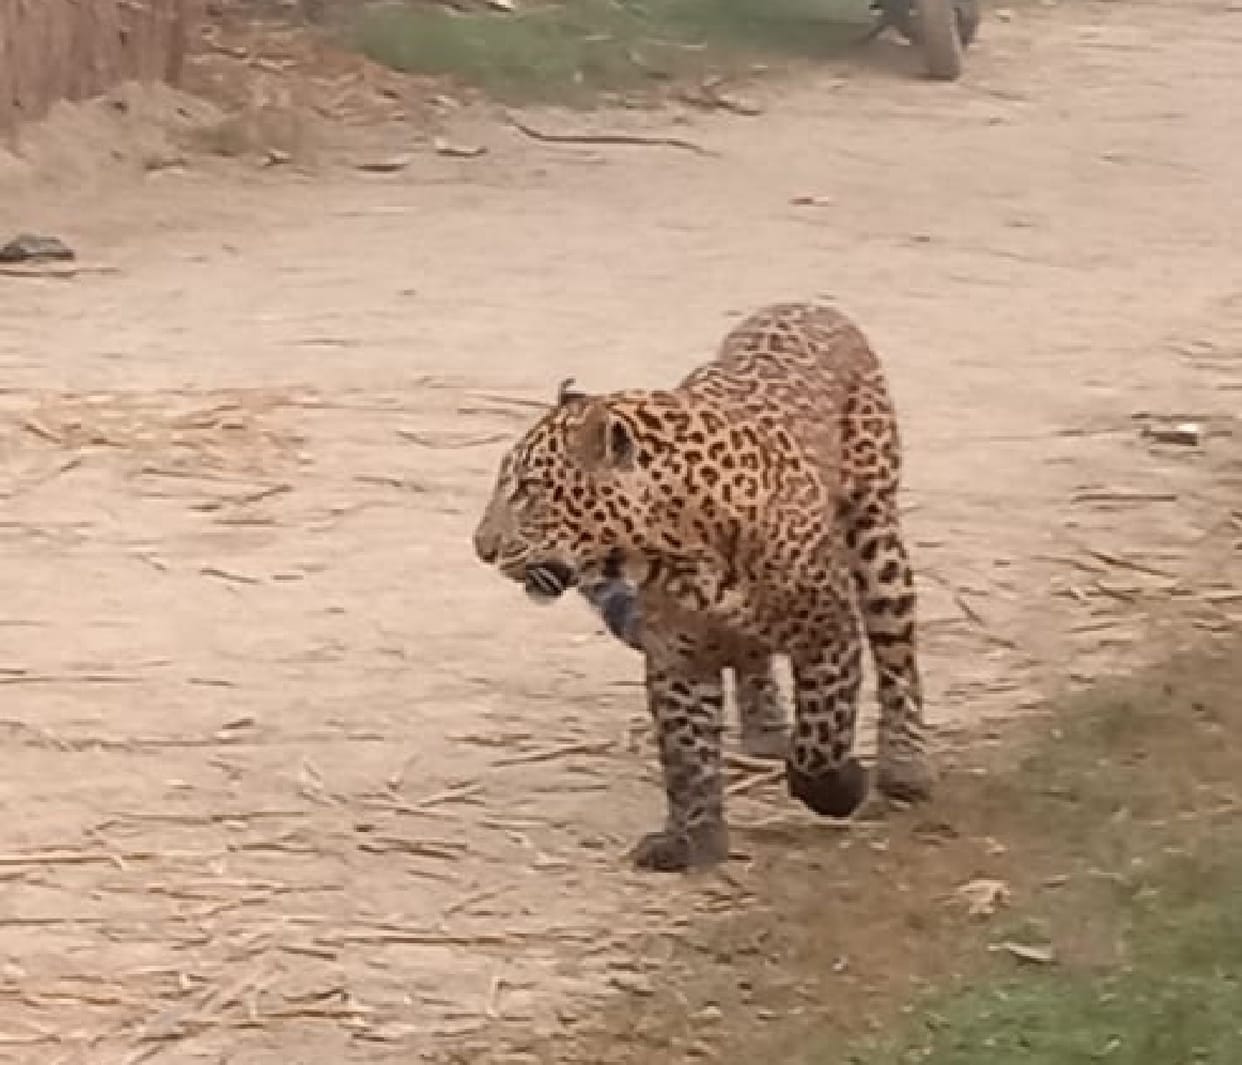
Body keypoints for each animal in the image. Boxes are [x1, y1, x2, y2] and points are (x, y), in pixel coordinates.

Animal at [472, 301, 932, 872]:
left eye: (529, 490)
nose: (481, 547)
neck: (675, 547)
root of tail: (811, 306)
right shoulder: (677, 656)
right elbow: (688, 754)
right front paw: (693, 839)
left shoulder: (828, 631)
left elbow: (821, 737)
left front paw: (837, 788)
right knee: (755, 656)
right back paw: (764, 729)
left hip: (876, 535)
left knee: (897, 660)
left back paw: (904, 766)